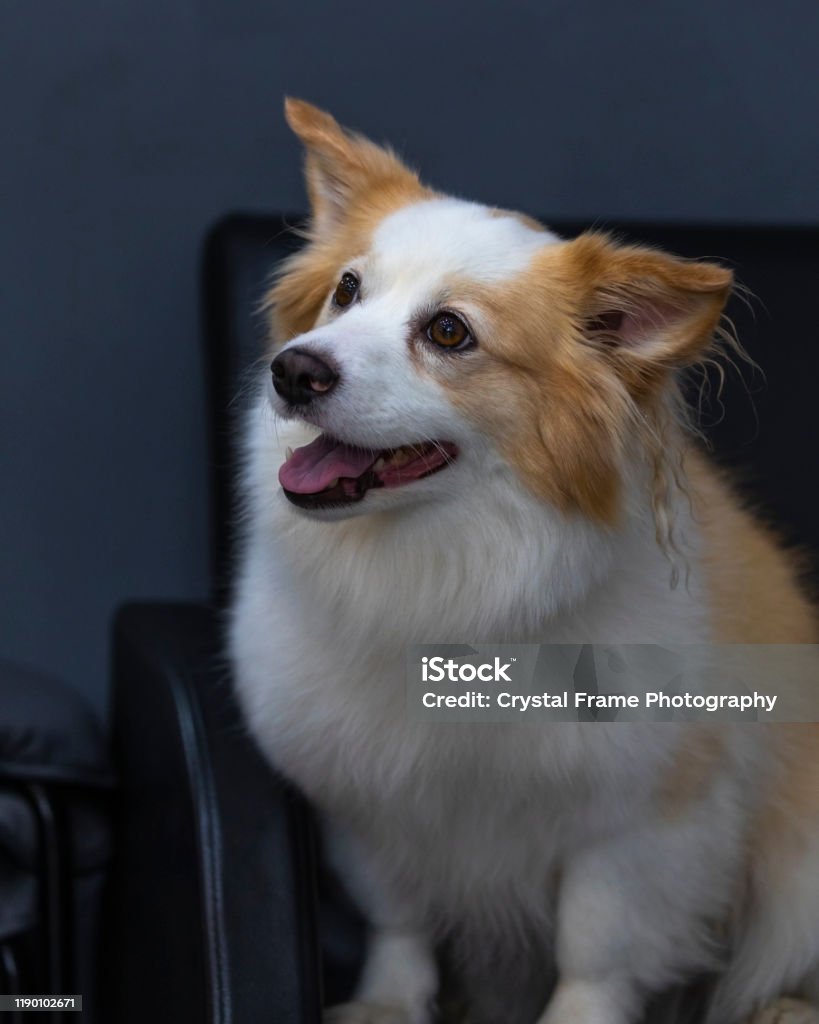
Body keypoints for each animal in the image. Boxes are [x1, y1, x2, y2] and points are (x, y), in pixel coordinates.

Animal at [227, 97, 818, 1024]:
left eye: (448, 332)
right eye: (345, 292)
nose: (294, 370)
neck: (445, 573)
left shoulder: (642, 822)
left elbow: (595, 949)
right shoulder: (367, 802)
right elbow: (398, 917)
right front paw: (386, 1003)